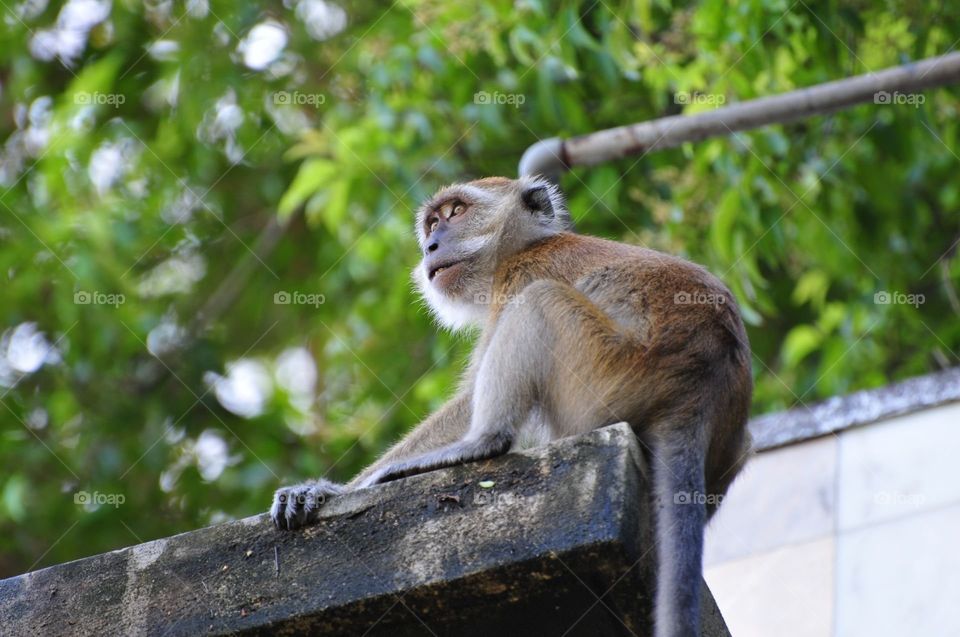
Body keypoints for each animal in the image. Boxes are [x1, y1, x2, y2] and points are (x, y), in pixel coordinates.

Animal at [270, 175, 752, 637]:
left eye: (456, 211)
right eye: (431, 223)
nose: (430, 245)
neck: (523, 244)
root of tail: (695, 387)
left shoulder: (519, 272)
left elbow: (469, 396)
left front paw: (336, 489)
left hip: (608, 372)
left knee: (537, 303)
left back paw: (479, 444)